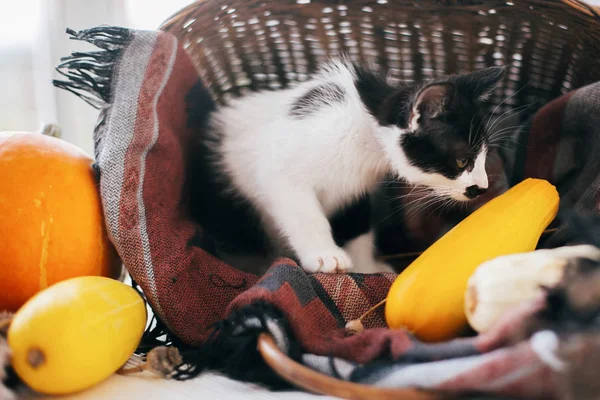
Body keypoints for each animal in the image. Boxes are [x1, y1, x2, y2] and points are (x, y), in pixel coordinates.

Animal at [190, 58, 504, 276]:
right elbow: (304, 213)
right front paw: (323, 254)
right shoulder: (280, 170)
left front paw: (365, 268)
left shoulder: (356, 190)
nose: (482, 187)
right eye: (462, 161)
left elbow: (358, 226)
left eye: (483, 156)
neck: (365, 136)